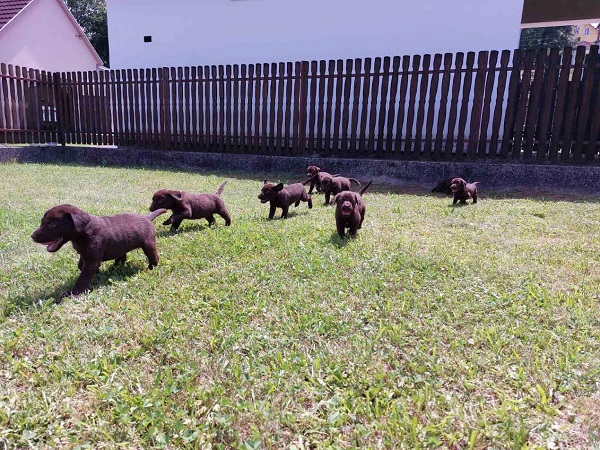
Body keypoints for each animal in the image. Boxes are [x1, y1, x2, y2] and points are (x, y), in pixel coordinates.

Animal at [32, 205, 166, 298]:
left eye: (52, 223)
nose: (32, 236)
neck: (83, 233)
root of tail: (146, 217)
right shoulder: (85, 254)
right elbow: (81, 266)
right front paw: (97, 273)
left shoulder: (92, 259)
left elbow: (83, 277)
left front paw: (74, 293)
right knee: (121, 257)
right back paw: (114, 268)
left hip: (148, 245)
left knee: (154, 257)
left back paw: (151, 268)